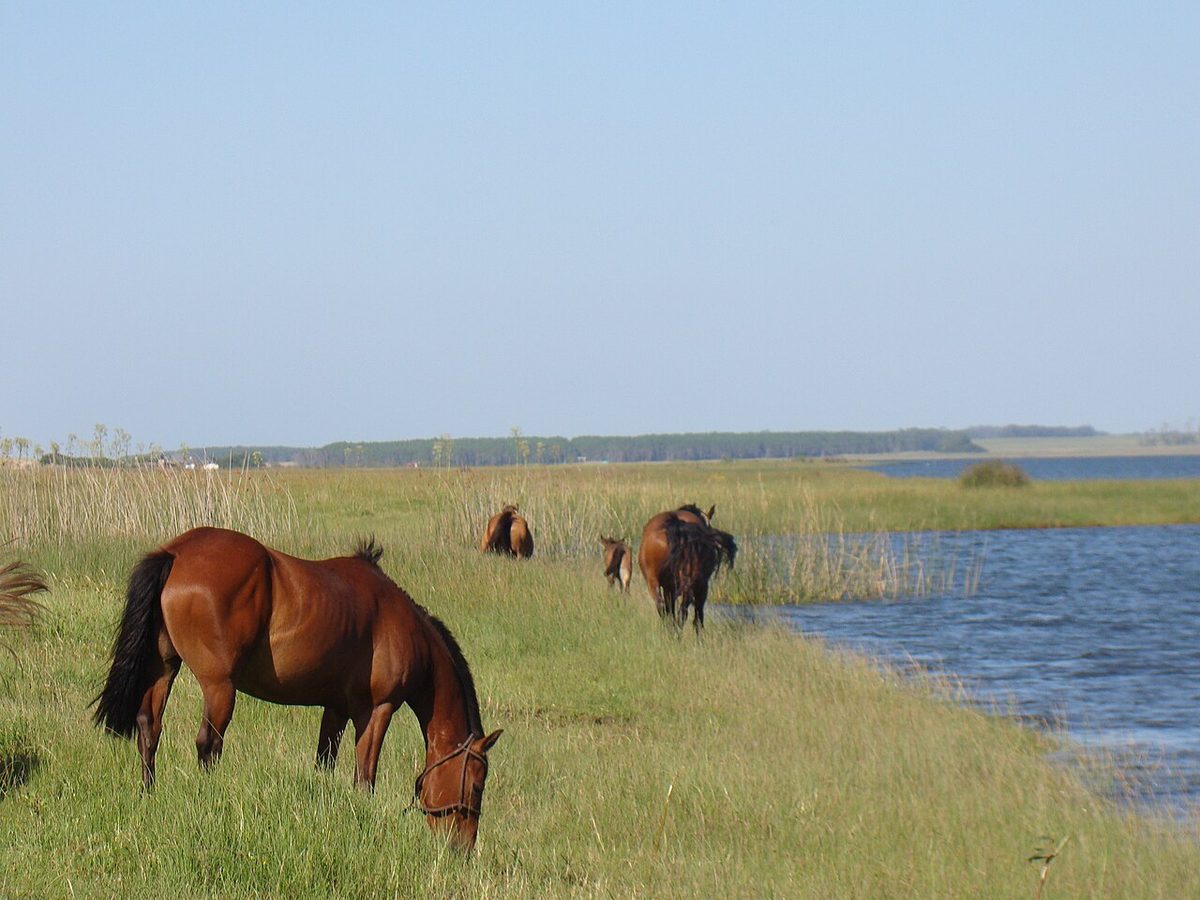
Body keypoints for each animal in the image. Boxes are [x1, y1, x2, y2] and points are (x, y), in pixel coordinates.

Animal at [92, 527, 502, 851]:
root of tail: (176, 552)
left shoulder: (336, 709)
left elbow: (324, 763)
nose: (462, 848)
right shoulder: (377, 710)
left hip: (163, 669)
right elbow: (364, 776)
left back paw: (148, 794)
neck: (401, 624)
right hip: (219, 687)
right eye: (477, 785)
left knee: (150, 728)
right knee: (208, 744)